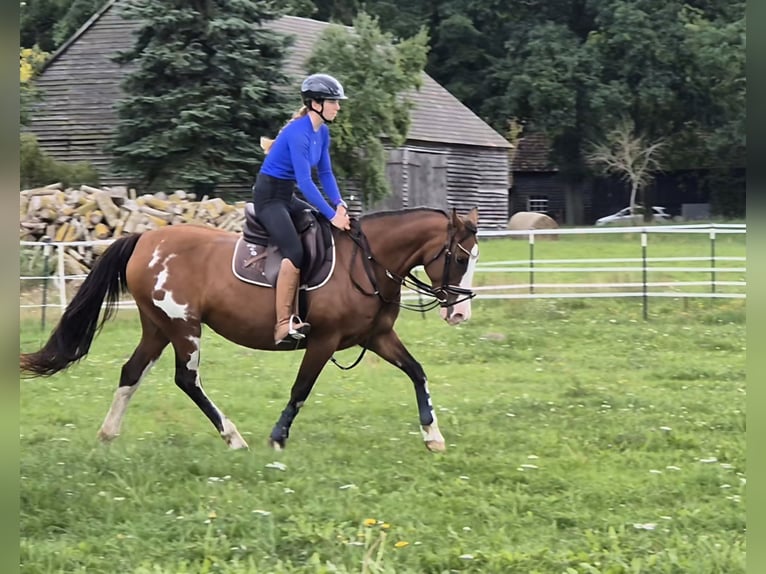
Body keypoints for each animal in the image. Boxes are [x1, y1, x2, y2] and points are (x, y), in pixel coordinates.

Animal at [20, 206, 480, 452]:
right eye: (459, 258)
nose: (459, 314)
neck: (366, 263)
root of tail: (145, 240)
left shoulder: (377, 337)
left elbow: (417, 372)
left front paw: (433, 435)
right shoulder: (324, 341)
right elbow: (301, 389)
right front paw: (277, 437)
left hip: (157, 327)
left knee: (131, 372)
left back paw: (108, 433)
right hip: (184, 328)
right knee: (187, 379)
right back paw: (233, 436)